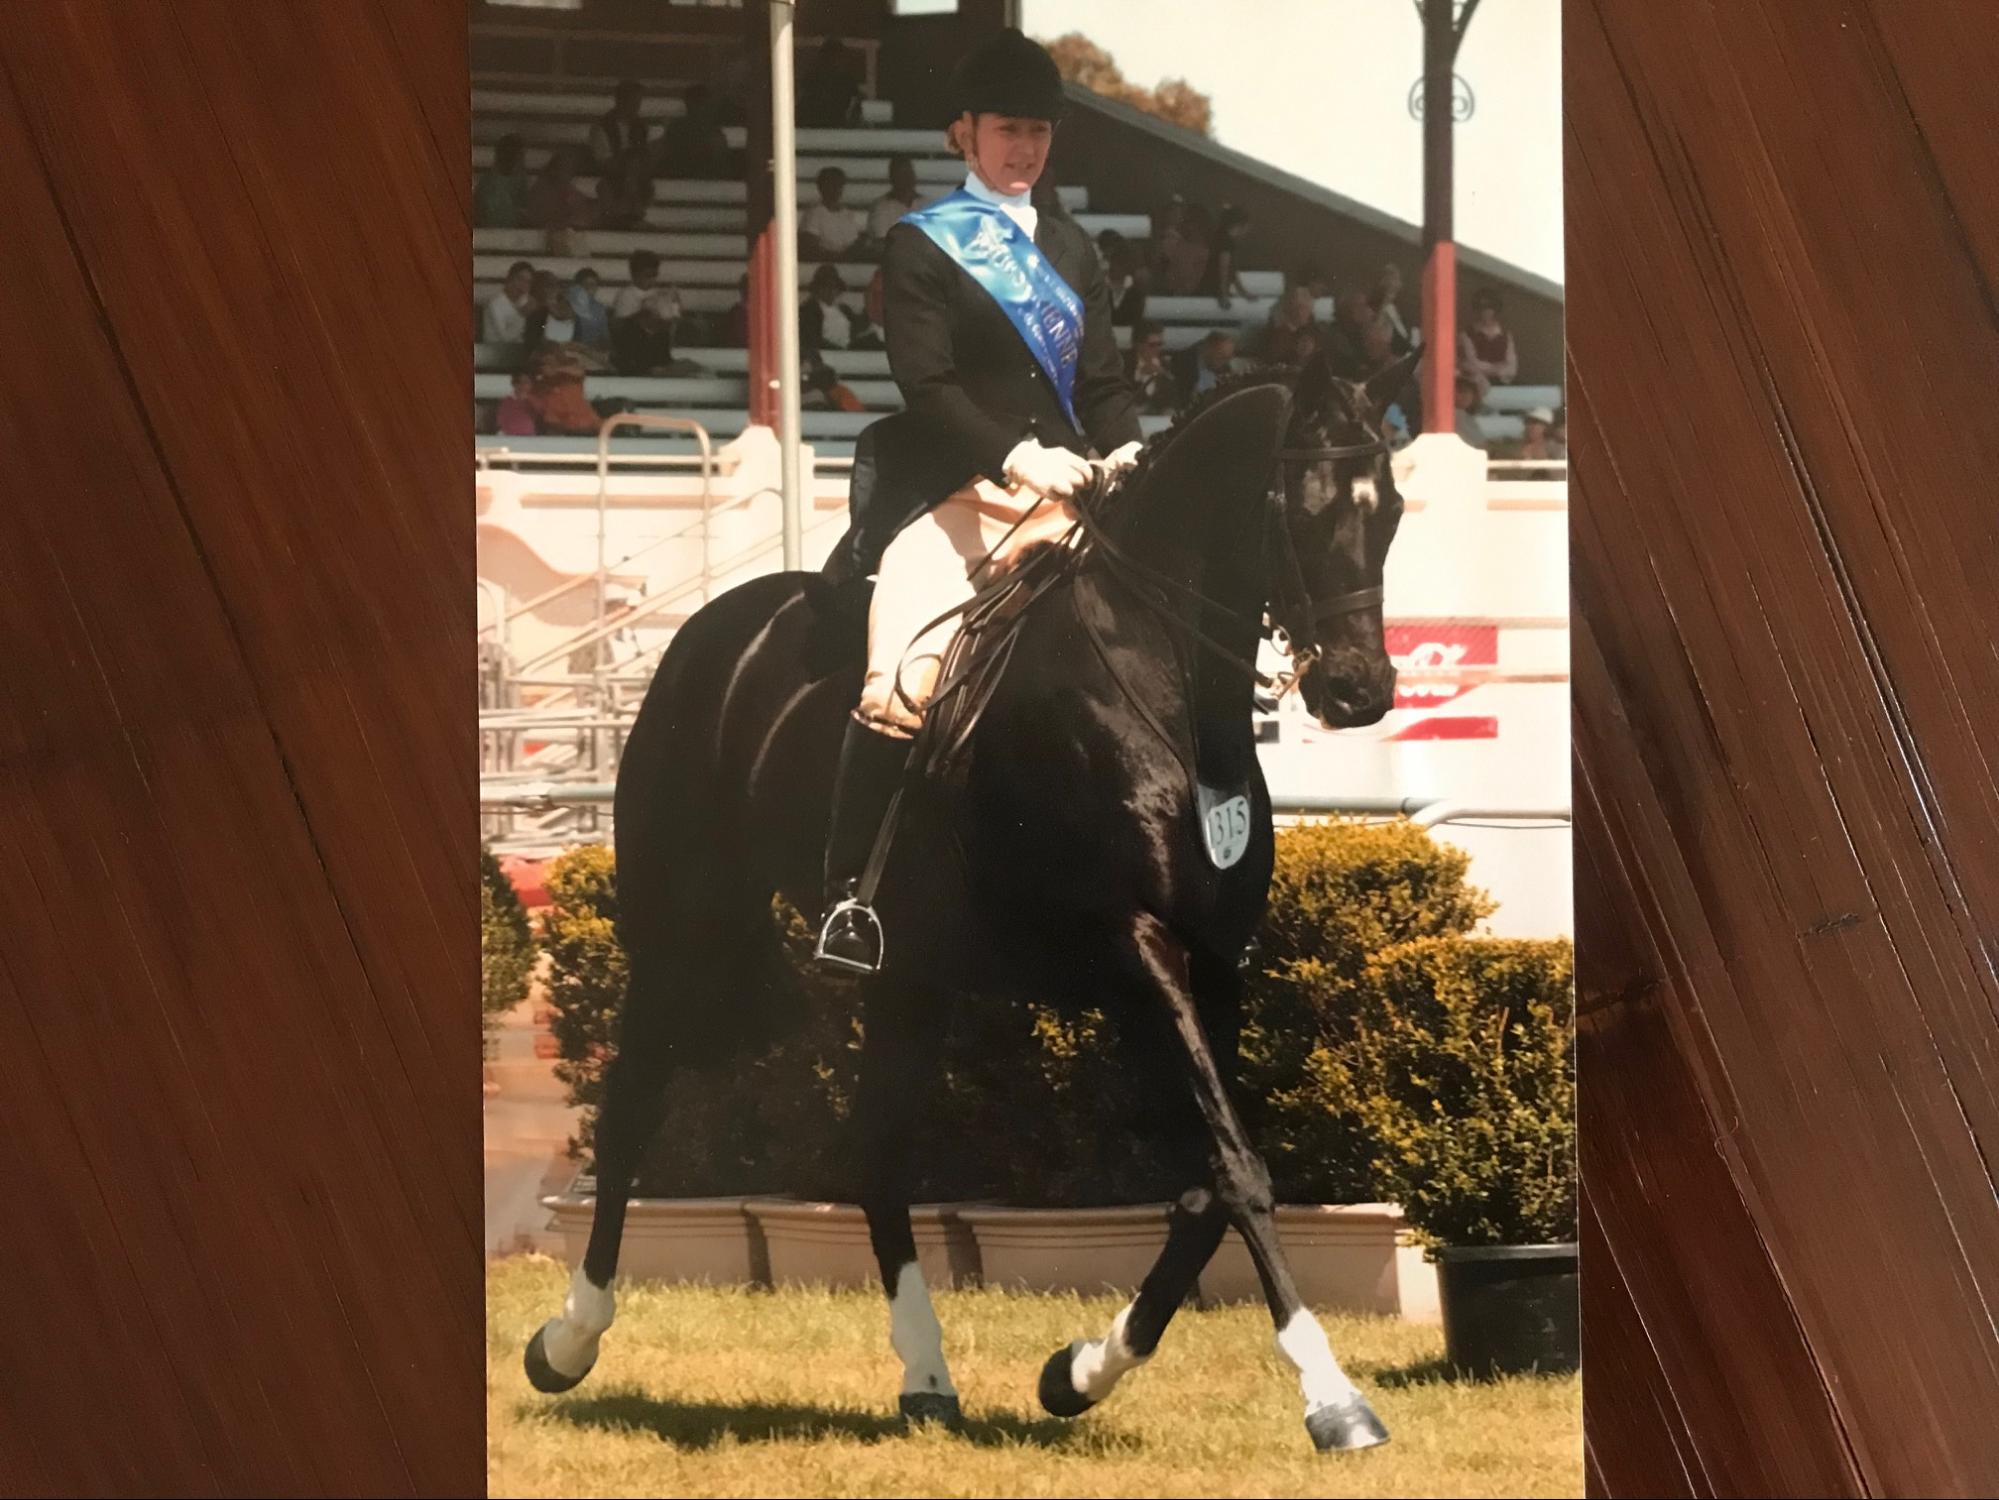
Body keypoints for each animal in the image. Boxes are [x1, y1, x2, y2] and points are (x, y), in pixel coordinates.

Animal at [523, 352, 1415, 1456]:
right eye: (1299, 505)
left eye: (1391, 511)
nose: (1358, 692)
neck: (1159, 686)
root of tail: (715, 630)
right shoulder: (1134, 951)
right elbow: (1238, 1170)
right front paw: (1333, 1397)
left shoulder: (1211, 968)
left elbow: (1208, 1184)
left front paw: (1077, 1372)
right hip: (681, 929)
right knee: (630, 1112)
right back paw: (568, 1341)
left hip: (909, 974)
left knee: (876, 1154)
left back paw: (926, 1375)